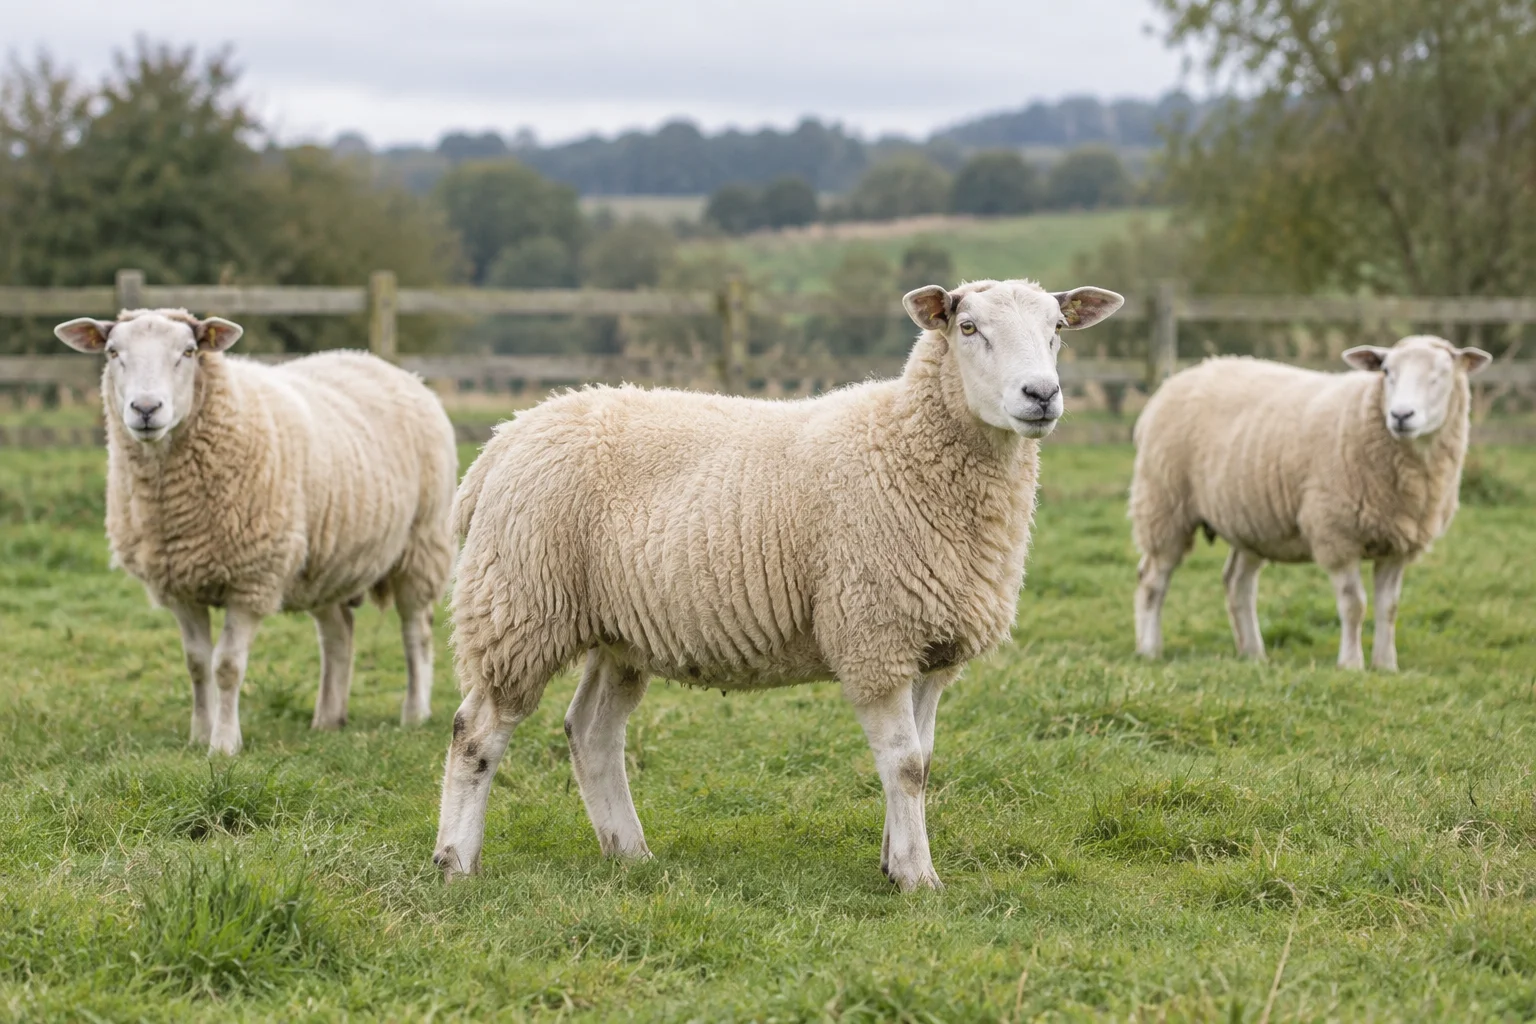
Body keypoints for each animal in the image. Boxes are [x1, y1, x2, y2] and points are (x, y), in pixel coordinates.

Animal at [54, 309, 457, 755]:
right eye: (112, 352)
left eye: (189, 351)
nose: (145, 408)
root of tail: (381, 363)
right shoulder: (179, 586)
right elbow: (197, 664)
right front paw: (200, 734)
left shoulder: (252, 579)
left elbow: (227, 665)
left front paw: (224, 744)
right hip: (324, 561)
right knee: (338, 633)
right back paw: (328, 719)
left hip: (422, 543)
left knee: (415, 631)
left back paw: (414, 713)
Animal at [432, 278, 1124, 890]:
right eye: (969, 328)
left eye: (1057, 329)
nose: (1042, 394)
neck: (906, 443)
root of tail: (502, 441)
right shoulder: (875, 637)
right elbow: (903, 765)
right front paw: (919, 878)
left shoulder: (930, 646)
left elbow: (921, 762)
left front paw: (894, 859)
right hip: (518, 605)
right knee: (477, 732)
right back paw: (455, 862)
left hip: (616, 631)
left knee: (592, 732)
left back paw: (628, 852)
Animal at [1130, 335, 1491, 670]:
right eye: (1387, 371)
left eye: (1442, 374)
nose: (1401, 415)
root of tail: (1190, 372)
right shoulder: (1336, 534)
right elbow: (1354, 605)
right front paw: (1351, 665)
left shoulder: (1397, 545)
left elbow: (1388, 609)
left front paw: (1386, 666)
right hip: (1164, 505)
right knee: (1152, 580)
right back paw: (1149, 649)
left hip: (1250, 520)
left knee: (1237, 583)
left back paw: (1253, 654)